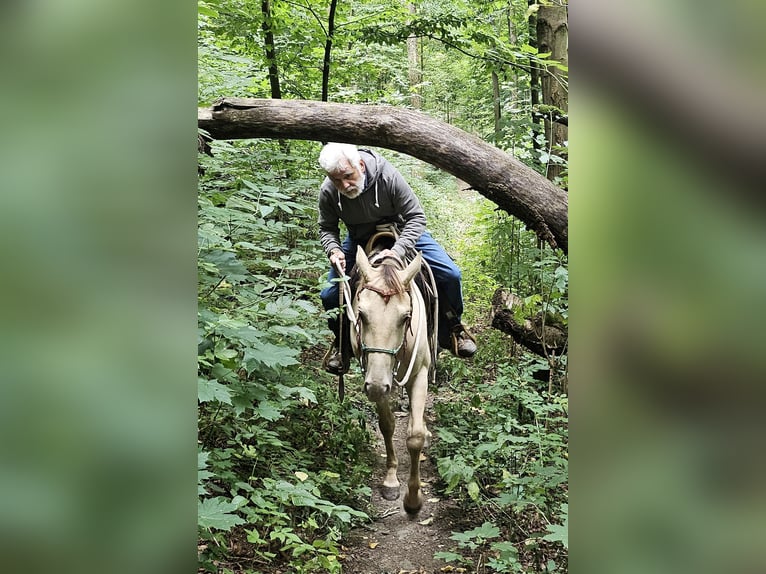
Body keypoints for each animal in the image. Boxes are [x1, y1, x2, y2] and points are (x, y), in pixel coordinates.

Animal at [349, 245, 433, 514]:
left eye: (406, 317)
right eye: (361, 314)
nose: (377, 386)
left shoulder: (420, 374)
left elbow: (415, 436)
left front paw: (414, 500)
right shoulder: (374, 379)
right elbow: (387, 425)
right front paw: (391, 481)